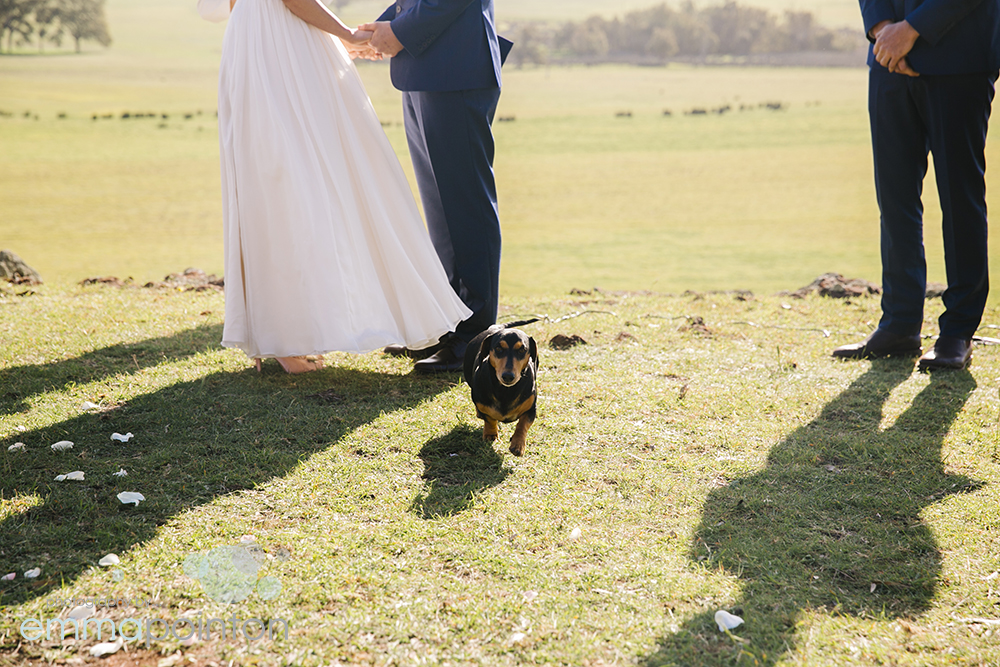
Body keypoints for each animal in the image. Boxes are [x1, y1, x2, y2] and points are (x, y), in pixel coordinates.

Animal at [462, 320, 540, 456]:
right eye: (498, 349)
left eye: (522, 350)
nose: (508, 376)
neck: (505, 391)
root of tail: (497, 327)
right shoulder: (483, 406)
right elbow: (490, 419)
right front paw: (491, 435)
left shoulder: (531, 409)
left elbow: (523, 424)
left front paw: (518, 444)